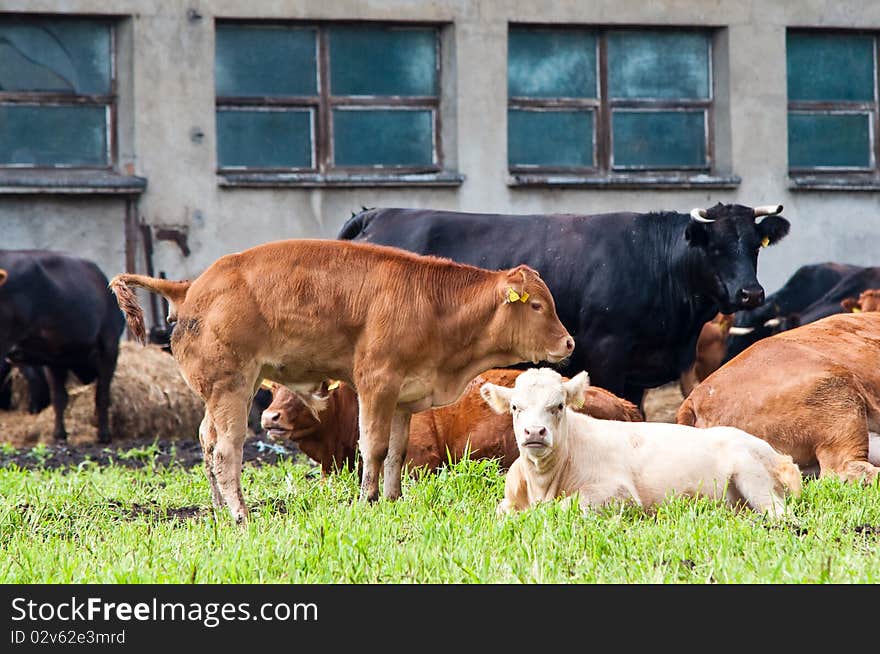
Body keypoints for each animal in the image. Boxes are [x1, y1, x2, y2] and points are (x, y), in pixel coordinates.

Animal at [110, 241, 576, 524]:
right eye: (537, 305)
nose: (569, 342)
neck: (435, 306)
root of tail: (190, 287)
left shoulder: (403, 397)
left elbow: (396, 453)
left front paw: (393, 498)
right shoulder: (376, 385)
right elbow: (373, 447)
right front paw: (367, 500)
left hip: (225, 392)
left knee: (207, 442)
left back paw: (218, 508)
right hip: (232, 386)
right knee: (226, 451)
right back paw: (241, 515)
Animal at [478, 368, 800, 516]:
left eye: (558, 405)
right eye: (515, 407)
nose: (534, 432)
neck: (542, 484)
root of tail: (780, 457)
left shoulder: (618, 494)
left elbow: (563, 506)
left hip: (754, 478)